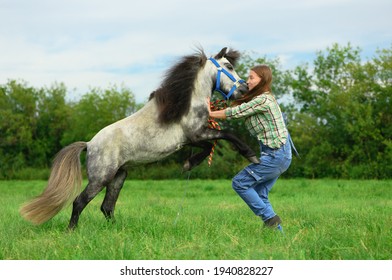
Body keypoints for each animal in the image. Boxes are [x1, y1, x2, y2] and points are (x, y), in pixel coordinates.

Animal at [19, 46, 260, 230]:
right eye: (229, 67)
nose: (244, 89)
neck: (186, 103)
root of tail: (89, 144)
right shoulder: (195, 134)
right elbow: (226, 136)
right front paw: (251, 156)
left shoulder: (194, 138)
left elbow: (213, 144)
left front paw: (188, 164)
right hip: (101, 177)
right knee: (79, 202)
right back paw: (72, 231)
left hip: (119, 176)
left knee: (107, 206)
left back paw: (116, 230)